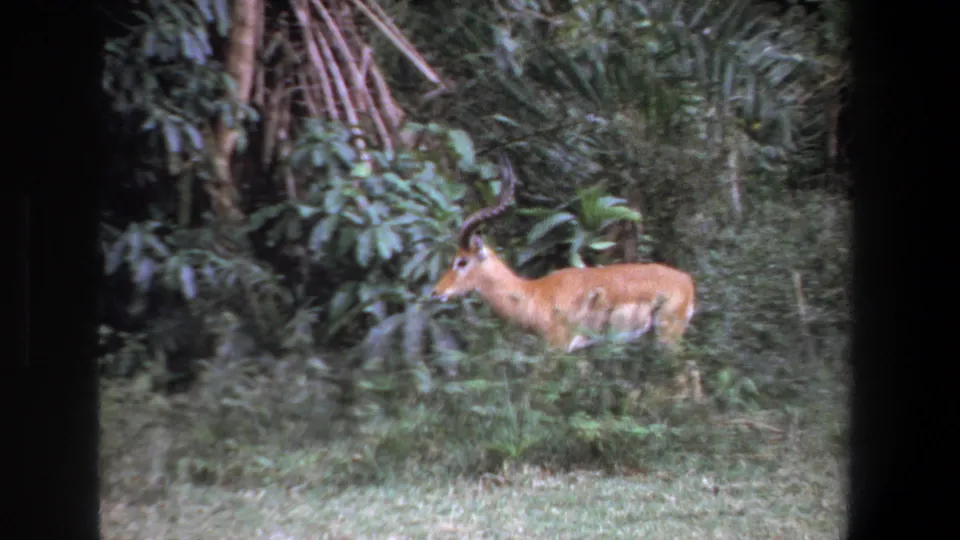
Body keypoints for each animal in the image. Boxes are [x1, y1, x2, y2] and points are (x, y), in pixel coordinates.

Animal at [431, 153, 697, 354]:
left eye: (462, 261)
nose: (436, 292)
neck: (535, 294)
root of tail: (686, 281)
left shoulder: (556, 347)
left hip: (667, 337)